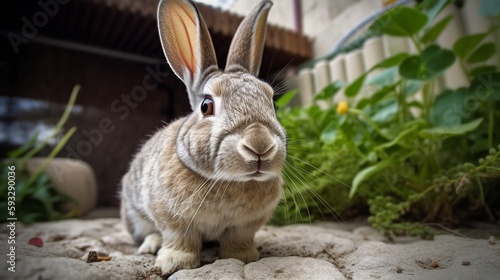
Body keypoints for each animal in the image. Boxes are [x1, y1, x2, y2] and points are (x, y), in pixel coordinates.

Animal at [119, 0, 288, 276]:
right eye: (206, 106)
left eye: (272, 103)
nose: (260, 145)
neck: (230, 181)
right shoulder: (174, 221)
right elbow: (180, 240)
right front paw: (174, 263)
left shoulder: (245, 226)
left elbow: (238, 239)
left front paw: (244, 257)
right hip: (134, 216)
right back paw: (150, 246)